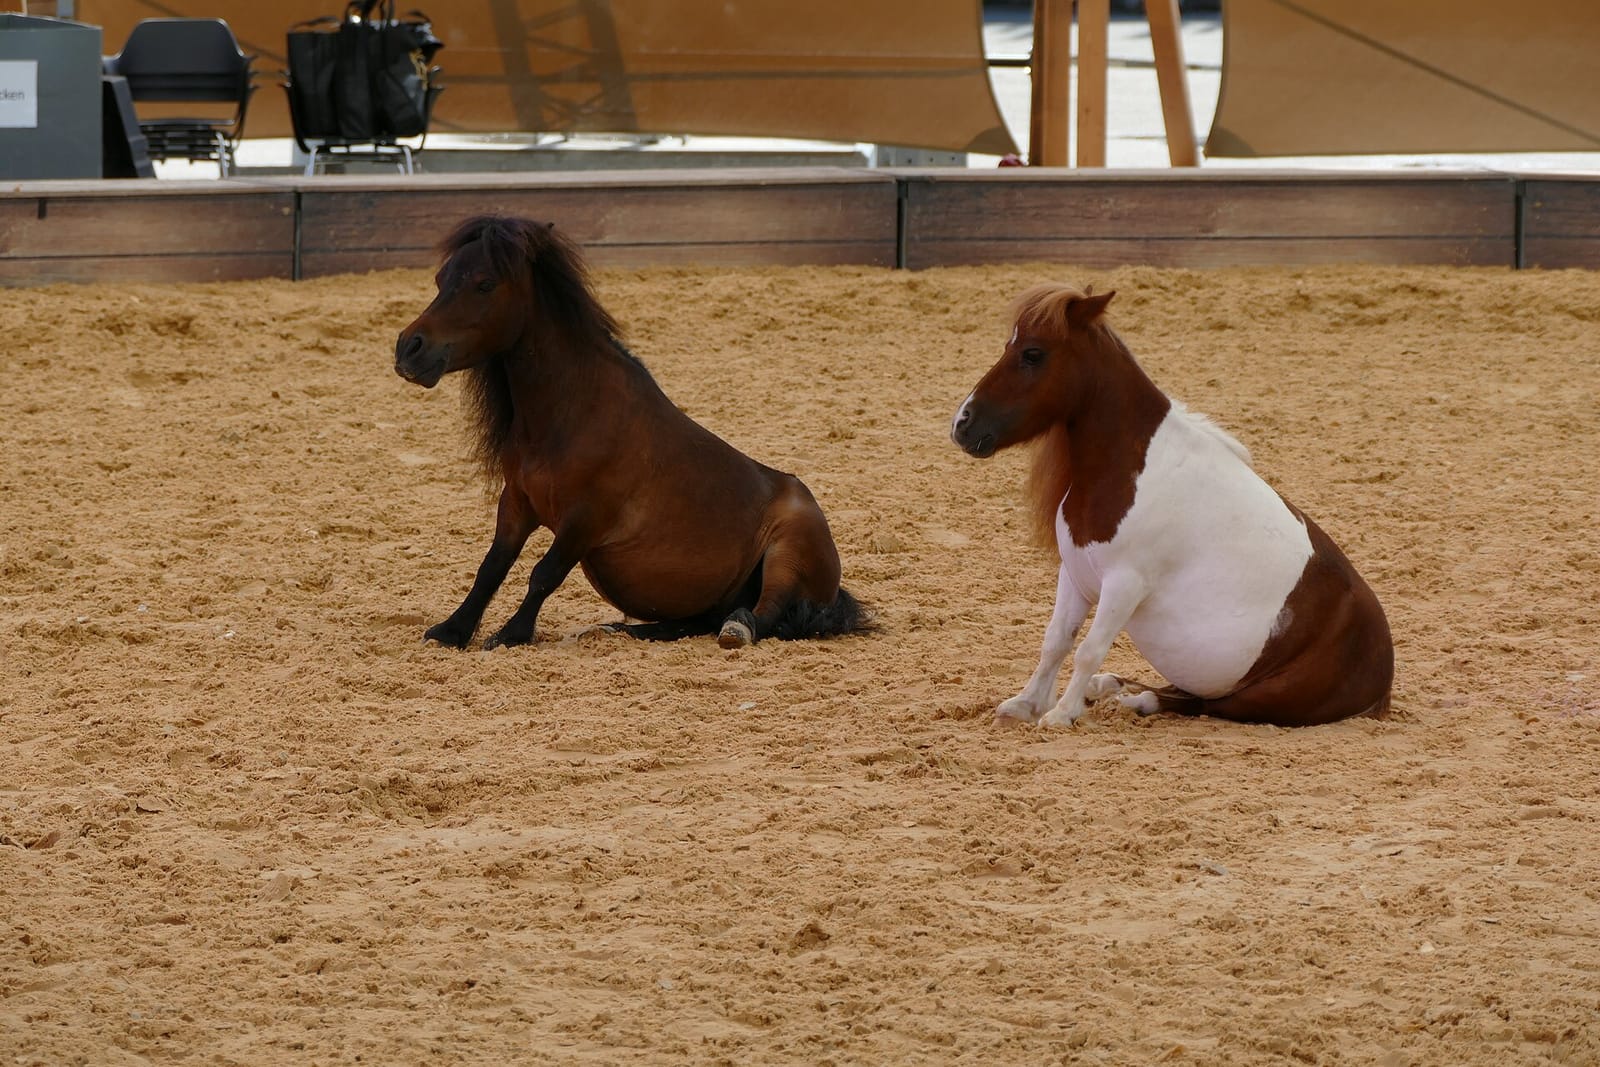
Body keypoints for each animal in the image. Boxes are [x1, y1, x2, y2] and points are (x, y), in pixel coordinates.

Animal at [393, 215, 869, 650]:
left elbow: (544, 573)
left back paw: (737, 628)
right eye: (441, 279)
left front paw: (511, 634)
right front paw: (452, 631)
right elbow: (492, 567)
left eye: (485, 283)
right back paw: (623, 629)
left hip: (788, 551)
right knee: (695, 621)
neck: (573, 414)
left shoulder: (585, 519)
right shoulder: (517, 502)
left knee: (763, 613)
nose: (409, 349)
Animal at [949, 284, 1393, 728]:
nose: (962, 424)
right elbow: (1056, 641)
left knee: (1199, 704)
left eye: (1033, 353)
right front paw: (1025, 704)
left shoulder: (1124, 584)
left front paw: (1061, 713)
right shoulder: (1074, 574)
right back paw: (1110, 687)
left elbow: (1089, 649)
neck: (1131, 471)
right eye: (1010, 345)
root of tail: (1382, 676)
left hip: (1258, 700)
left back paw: (1131, 700)